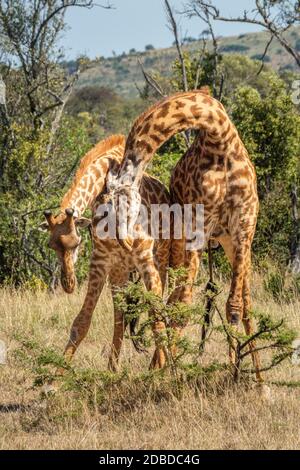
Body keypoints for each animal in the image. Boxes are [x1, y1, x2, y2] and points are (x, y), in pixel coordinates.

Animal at [40, 134, 170, 370]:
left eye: (76, 243)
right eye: (51, 246)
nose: (68, 284)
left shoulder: (144, 256)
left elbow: (156, 315)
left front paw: (165, 370)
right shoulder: (100, 261)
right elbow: (82, 321)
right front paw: (56, 374)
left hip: (161, 259)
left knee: (159, 306)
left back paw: (155, 364)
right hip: (120, 269)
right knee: (120, 316)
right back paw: (112, 369)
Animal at [105, 91, 262, 382]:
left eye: (113, 203)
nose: (123, 240)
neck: (220, 139)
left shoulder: (245, 226)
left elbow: (235, 307)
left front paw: (242, 375)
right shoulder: (199, 228)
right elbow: (183, 304)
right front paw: (169, 372)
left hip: (230, 243)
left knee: (244, 301)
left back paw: (256, 377)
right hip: (180, 246)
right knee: (172, 299)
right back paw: (159, 366)